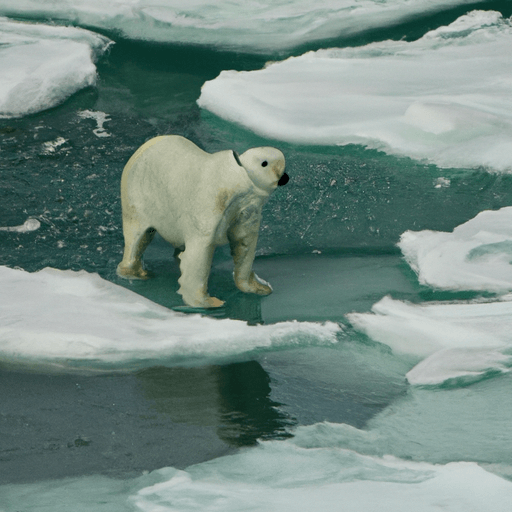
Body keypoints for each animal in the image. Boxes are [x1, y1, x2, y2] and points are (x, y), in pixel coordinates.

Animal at [117, 134, 290, 308]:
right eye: (264, 163)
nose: (284, 177)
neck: (234, 180)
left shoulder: (244, 209)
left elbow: (244, 244)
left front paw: (259, 287)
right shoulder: (211, 205)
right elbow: (199, 253)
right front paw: (208, 302)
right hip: (138, 195)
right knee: (137, 235)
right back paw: (136, 272)